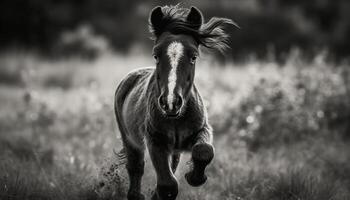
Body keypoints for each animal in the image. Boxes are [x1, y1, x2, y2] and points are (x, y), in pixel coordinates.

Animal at [115, 4, 238, 200]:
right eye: (156, 55)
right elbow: (168, 185)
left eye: (194, 56)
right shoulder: (155, 141)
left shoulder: (202, 130)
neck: (176, 118)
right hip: (130, 140)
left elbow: (203, 151)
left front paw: (194, 177)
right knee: (136, 167)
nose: (171, 102)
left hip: (173, 149)